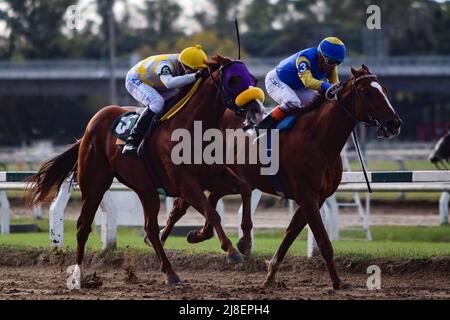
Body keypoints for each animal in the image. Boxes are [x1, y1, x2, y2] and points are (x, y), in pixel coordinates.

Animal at [25, 55, 264, 284]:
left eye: (253, 79)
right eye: (233, 80)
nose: (256, 109)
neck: (191, 127)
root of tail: (89, 127)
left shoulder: (213, 174)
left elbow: (243, 189)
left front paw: (244, 241)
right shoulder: (185, 184)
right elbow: (212, 212)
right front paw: (231, 250)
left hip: (145, 189)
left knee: (150, 228)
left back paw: (170, 273)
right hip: (95, 185)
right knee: (83, 226)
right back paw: (78, 275)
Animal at [160, 65, 402, 290]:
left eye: (385, 90)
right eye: (368, 92)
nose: (395, 123)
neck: (318, 138)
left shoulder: (315, 198)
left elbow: (289, 235)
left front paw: (270, 276)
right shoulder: (307, 196)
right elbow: (323, 241)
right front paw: (337, 282)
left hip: (223, 176)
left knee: (209, 201)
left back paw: (199, 235)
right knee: (179, 208)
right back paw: (162, 245)